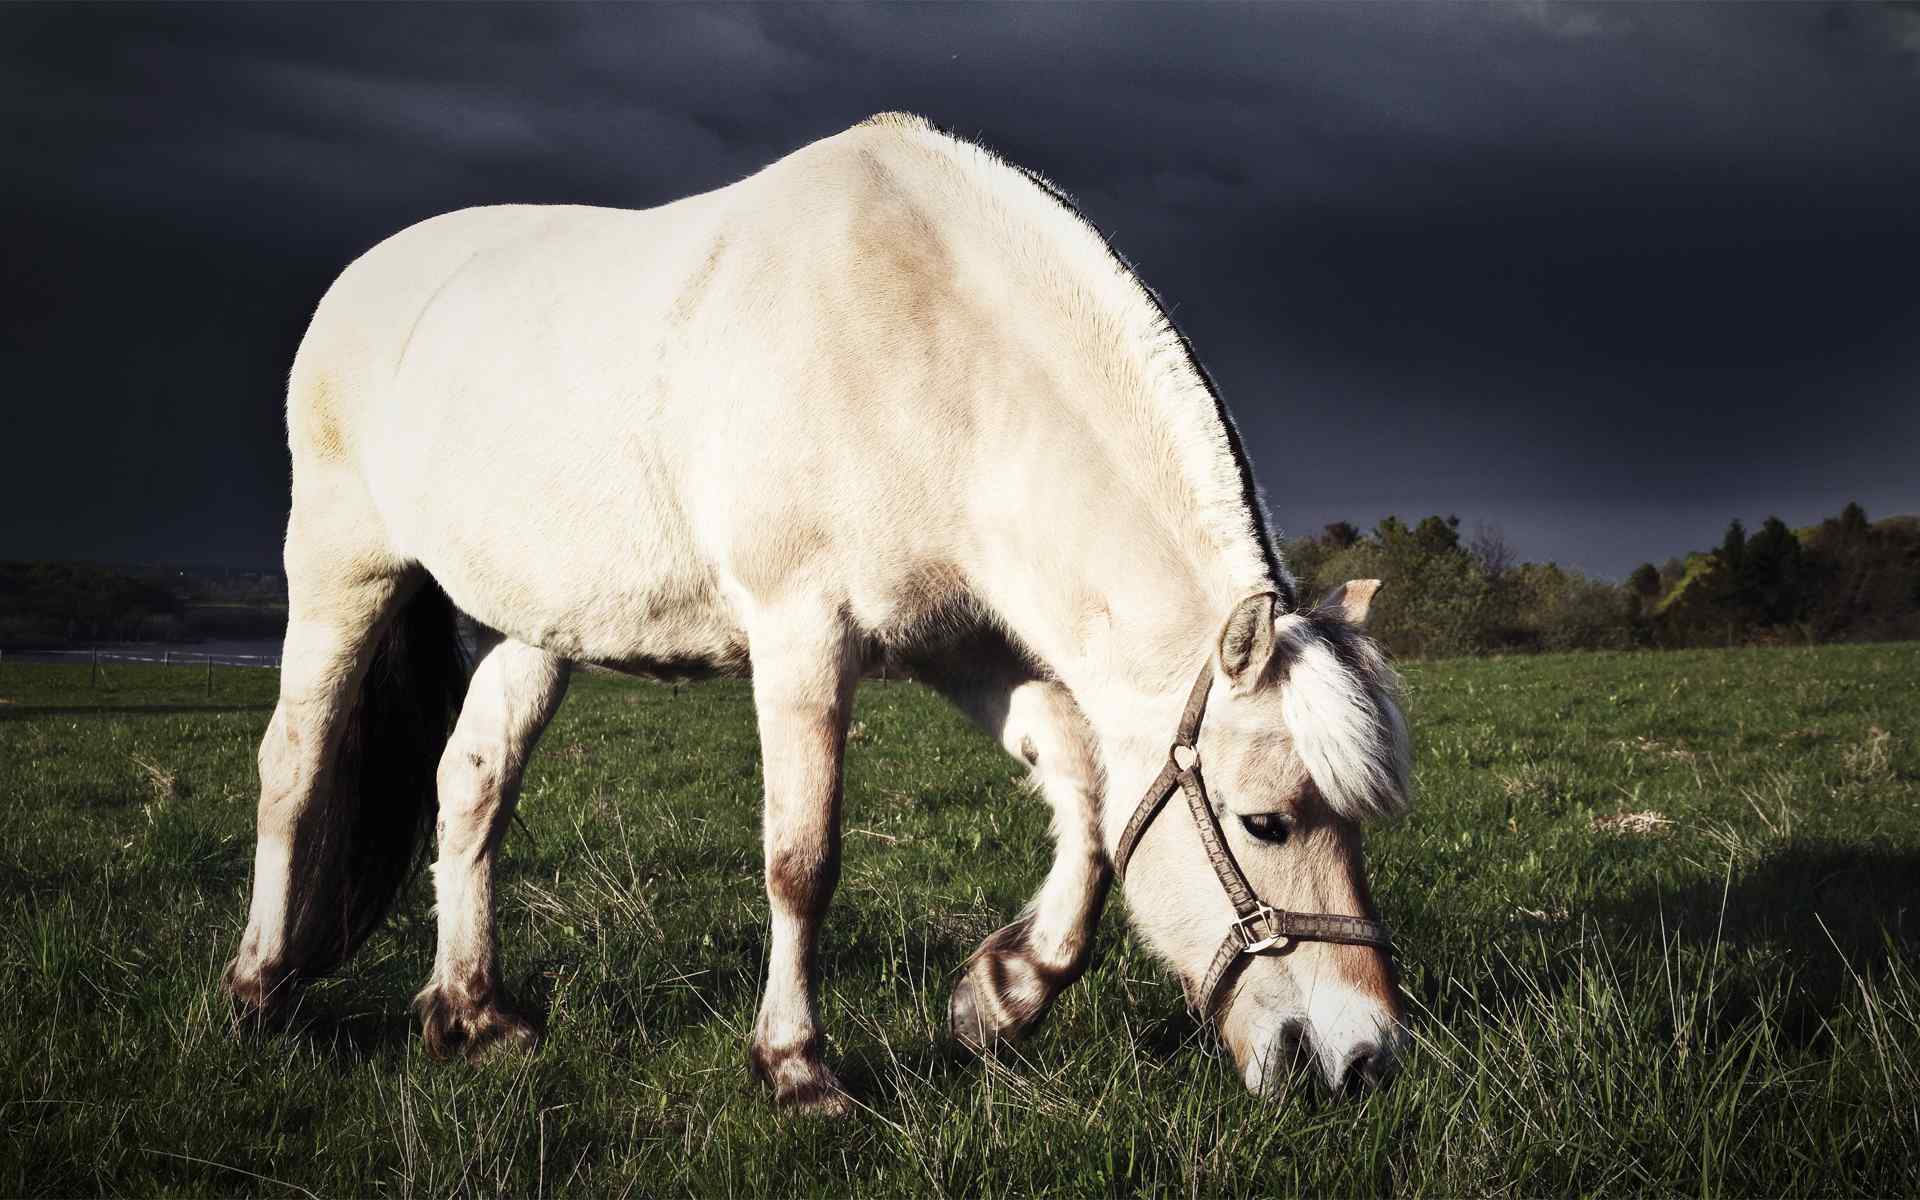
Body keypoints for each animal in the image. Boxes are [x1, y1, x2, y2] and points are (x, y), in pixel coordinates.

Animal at [228, 114, 1413, 1113]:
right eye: (1266, 823)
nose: (1360, 1055)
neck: (926, 336)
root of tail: (369, 280)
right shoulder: (804, 633)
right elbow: (803, 857)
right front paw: (797, 1068)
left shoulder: (961, 643)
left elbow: (1084, 787)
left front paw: (1002, 994)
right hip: (339, 569)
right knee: (295, 761)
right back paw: (260, 988)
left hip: (536, 621)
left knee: (472, 782)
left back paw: (470, 1015)